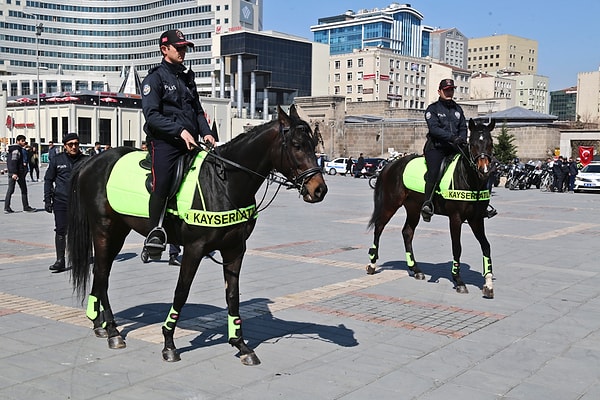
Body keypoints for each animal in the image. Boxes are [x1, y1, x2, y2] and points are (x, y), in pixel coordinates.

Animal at [67, 104, 328, 364]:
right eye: (297, 145)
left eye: (314, 144)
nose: (319, 189)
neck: (225, 183)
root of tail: (91, 161)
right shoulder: (194, 248)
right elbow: (181, 291)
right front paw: (168, 342)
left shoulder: (235, 249)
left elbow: (233, 295)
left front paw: (240, 344)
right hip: (104, 229)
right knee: (102, 274)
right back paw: (112, 330)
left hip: (118, 231)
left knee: (101, 274)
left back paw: (99, 324)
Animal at [368, 118, 494, 296]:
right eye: (473, 144)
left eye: (490, 143)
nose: (484, 170)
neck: (469, 179)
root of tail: (390, 165)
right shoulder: (455, 218)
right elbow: (457, 247)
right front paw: (458, 280)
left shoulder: (476, 219)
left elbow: (486, 246)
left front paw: (488, 283)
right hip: (390, 204)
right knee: (379, 227)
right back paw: (372, 264)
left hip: (413, 208)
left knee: (407, 232)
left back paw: (415, 269)